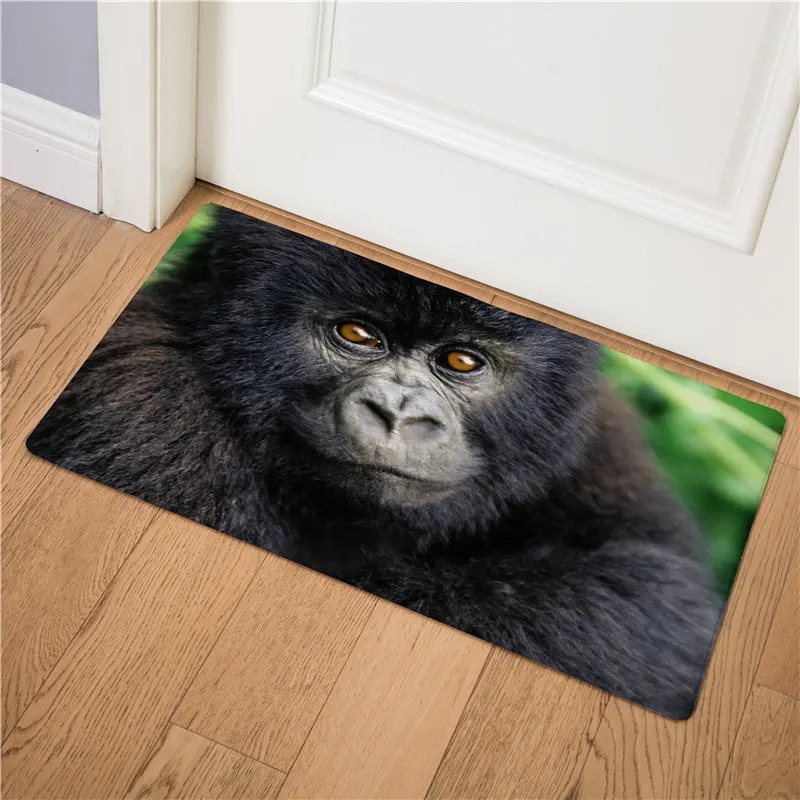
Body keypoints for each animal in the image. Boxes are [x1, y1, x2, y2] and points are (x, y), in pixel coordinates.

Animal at [28, 204, 722, 718]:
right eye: (358, 335)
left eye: (462, 361)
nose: (398, 415)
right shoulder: (141, 400)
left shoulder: (592, 432)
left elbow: (660, 595)